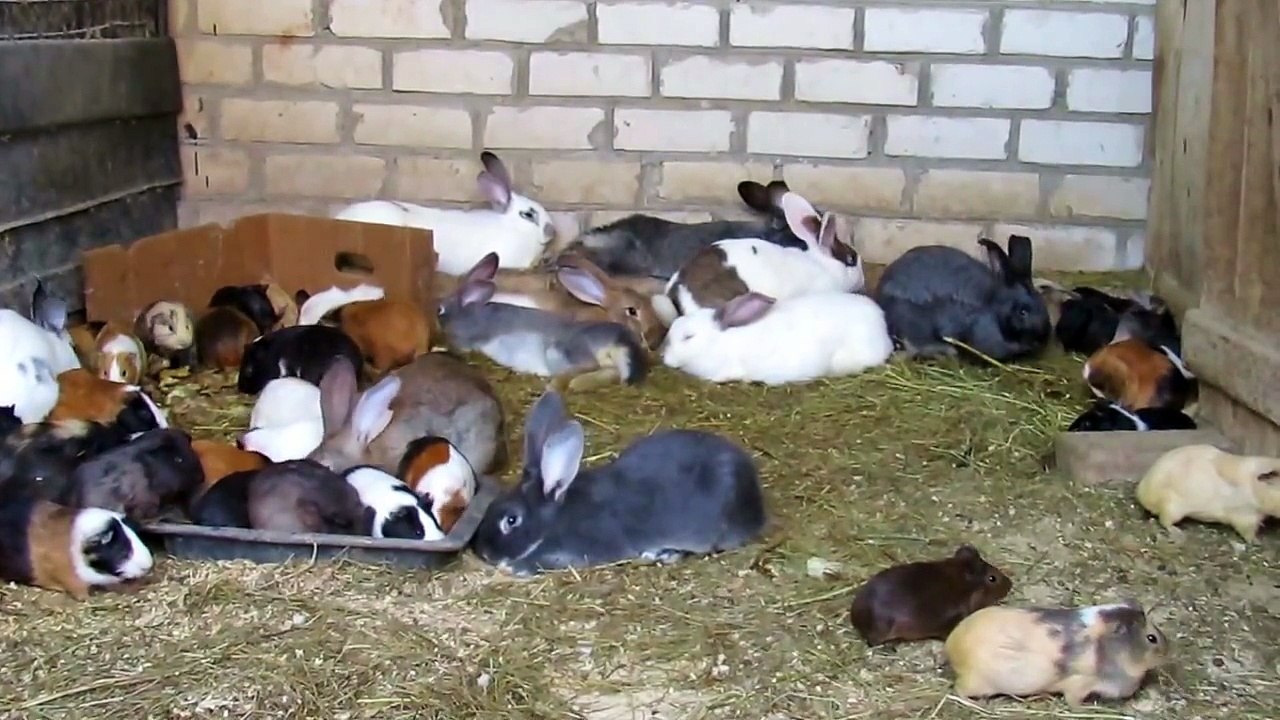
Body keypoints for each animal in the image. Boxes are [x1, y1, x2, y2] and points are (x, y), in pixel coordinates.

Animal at [436, 276, 649, 393]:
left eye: (440, 308)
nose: (436, 310)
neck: (462, 312)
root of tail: (615, 338)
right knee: (610, 372)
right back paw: (578, 384)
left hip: (561, 351)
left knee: (587, 365)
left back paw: (556, 386)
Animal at [945, 600, 1169, 707]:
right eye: (1152, 638)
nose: (1168, 651)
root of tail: (951, 644)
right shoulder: (1079, 686)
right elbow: (1074, 701)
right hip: (976, 684)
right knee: (958, 690)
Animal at [1135, 444, 1280, 542]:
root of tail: (1143, 493)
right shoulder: (1245, 517)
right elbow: (1248, 532)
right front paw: (1256, 541)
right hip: (1173, 509)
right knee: (1165, 521)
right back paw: (1179, 533)